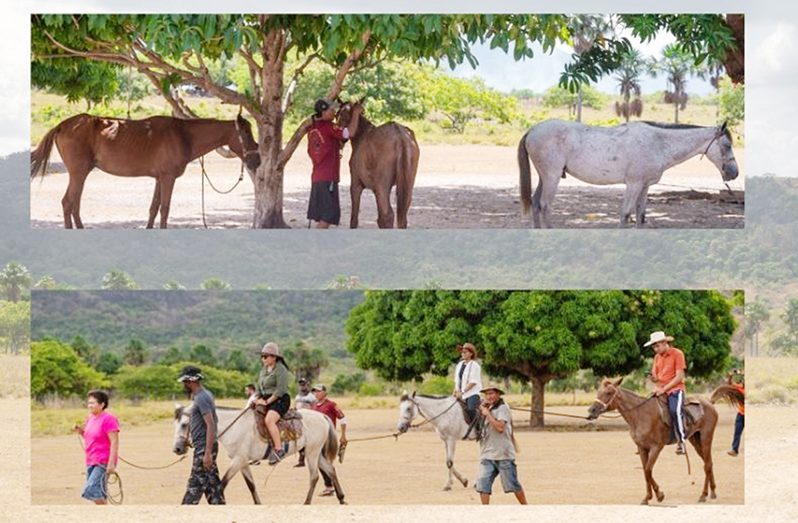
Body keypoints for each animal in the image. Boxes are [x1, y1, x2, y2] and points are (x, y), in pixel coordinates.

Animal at [29, 113, 260, 228]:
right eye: (246, 134)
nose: (256, 161)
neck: (183, 135)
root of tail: (62, 125)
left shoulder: (159, 178)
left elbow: (154, 208)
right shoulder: (168, 178)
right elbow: (165, 209)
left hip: (80, 174)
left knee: (74, 205)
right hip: (79, 173)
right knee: (68, 203)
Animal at [173, 404, 346, 506]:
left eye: (184, 424)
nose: (177, 449)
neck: (233, 427)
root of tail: (322, 416)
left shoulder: (238, 460)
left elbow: (222, 483)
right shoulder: (242, 462)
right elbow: (251, 485)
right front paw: (258, 503)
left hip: (312, 452)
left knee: (315, 476)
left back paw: (307, 502)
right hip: (315, 453)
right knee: (330, 470)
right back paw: (341, 498)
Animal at [520, 123, 744, 229]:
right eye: (727, 145)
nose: (734, 173)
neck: (658, 143)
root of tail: (533, 130)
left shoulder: (645, 186)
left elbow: (641, 214)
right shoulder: (634, 184)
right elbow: (626, 214)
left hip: (544, 177)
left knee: (535, 203)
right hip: (552, 177)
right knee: (545, 205)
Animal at [588, 378, 744, 506]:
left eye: (609, 392)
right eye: (599, 391)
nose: (591, 410)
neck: (640, 415)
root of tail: (709, 402)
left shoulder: (657, 447)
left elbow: (648, 470)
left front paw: (658, 495)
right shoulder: (642, 448)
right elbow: (645, 471)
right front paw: (648, 497)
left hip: (706, 437)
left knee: (707, 464)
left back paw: (703, 495)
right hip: (695, 439)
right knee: (708, 463)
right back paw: (712, 492)